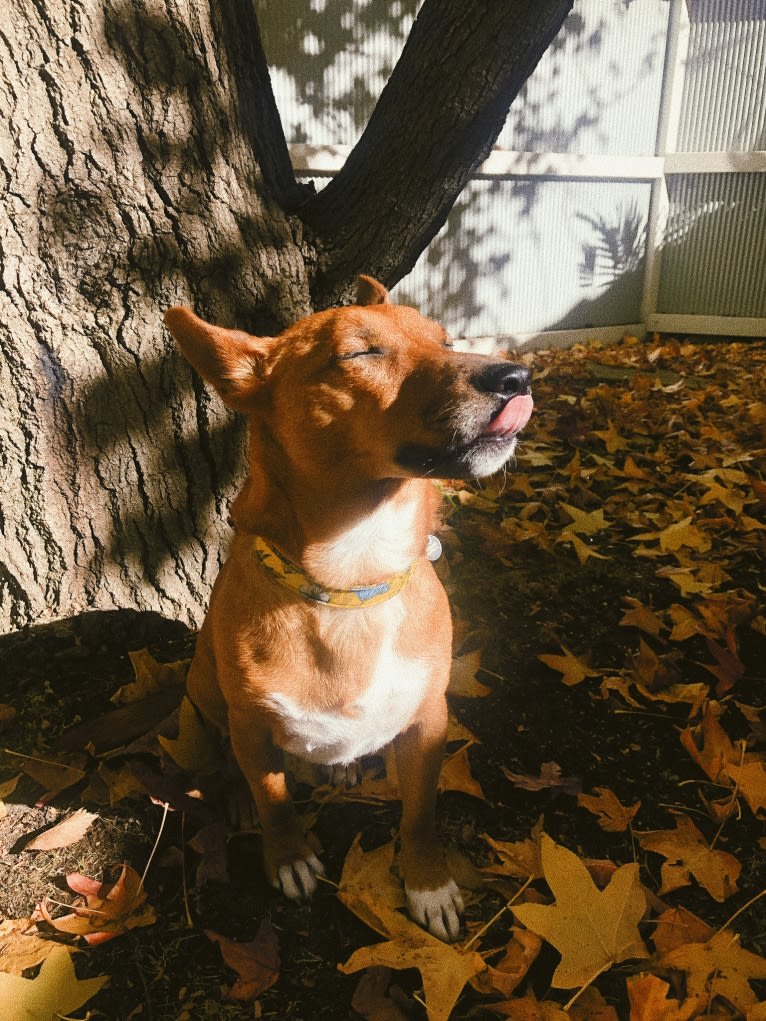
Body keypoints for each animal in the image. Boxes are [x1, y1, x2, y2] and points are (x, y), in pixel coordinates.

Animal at [163, 277, 535, 939]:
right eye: (359, 354)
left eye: (445, 340)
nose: (516, 375)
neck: (353, 580)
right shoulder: (252, 726)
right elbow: (274, 798)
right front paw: (286, 855)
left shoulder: (428, 723)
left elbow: (419, 815)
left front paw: (428, 882)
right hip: (203, 693)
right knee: (223, 764)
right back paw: (234, 797)